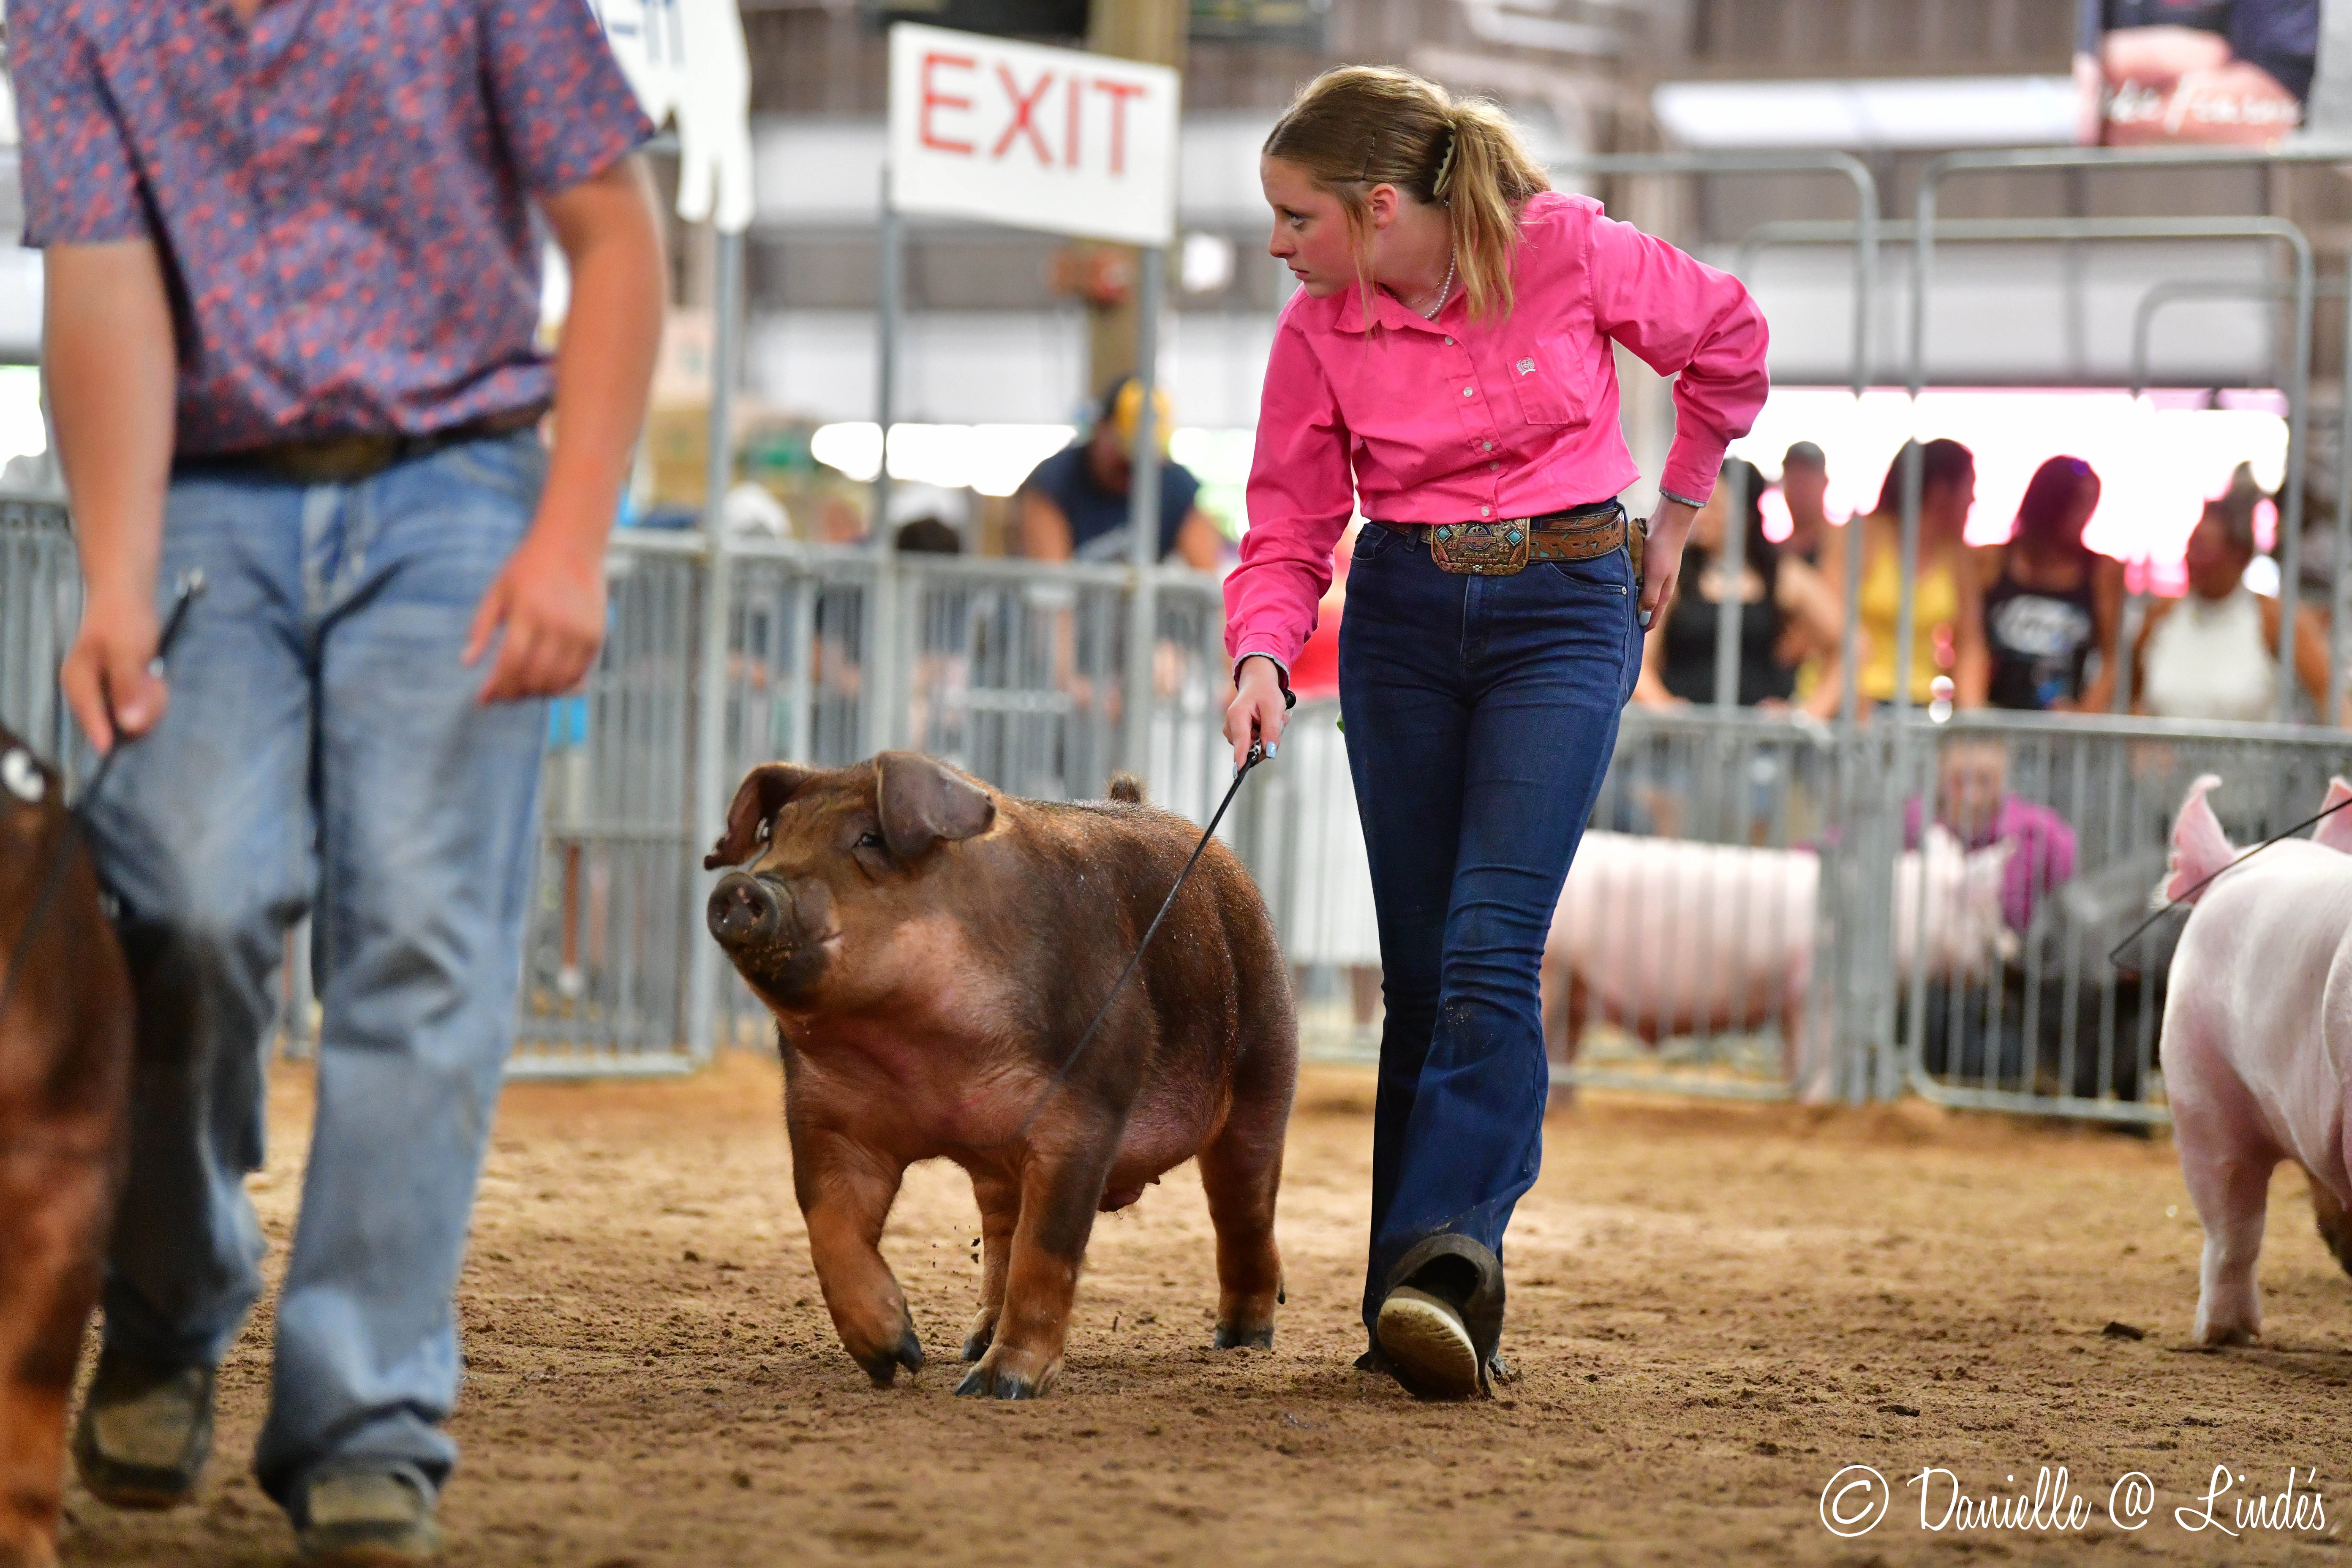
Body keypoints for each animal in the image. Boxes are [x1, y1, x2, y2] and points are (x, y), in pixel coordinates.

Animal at [703, 752, 1296, 1399]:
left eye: (868, 839)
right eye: (772, 836)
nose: (741, 886)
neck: (926, 1060)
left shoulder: (1084, 1109)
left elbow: (1049, 1250)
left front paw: (996, 1388)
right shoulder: (825, 1117)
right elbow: (829, 1226)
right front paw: (899, 1360)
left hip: (1267, 1063)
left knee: (1245, 1211)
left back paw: (1242, 1341)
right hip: (999, 1166)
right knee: (1002, 1234)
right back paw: (972, 1342)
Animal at [1541, 827, 2013, 1100]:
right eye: (1987, 912)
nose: (2010, 956)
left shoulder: (1791, 1005)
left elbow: (1792, 1060)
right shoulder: (1816, 993)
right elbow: (1818, 1059)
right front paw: (1818, 1104)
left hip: (1577, 985)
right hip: (1556, 971)